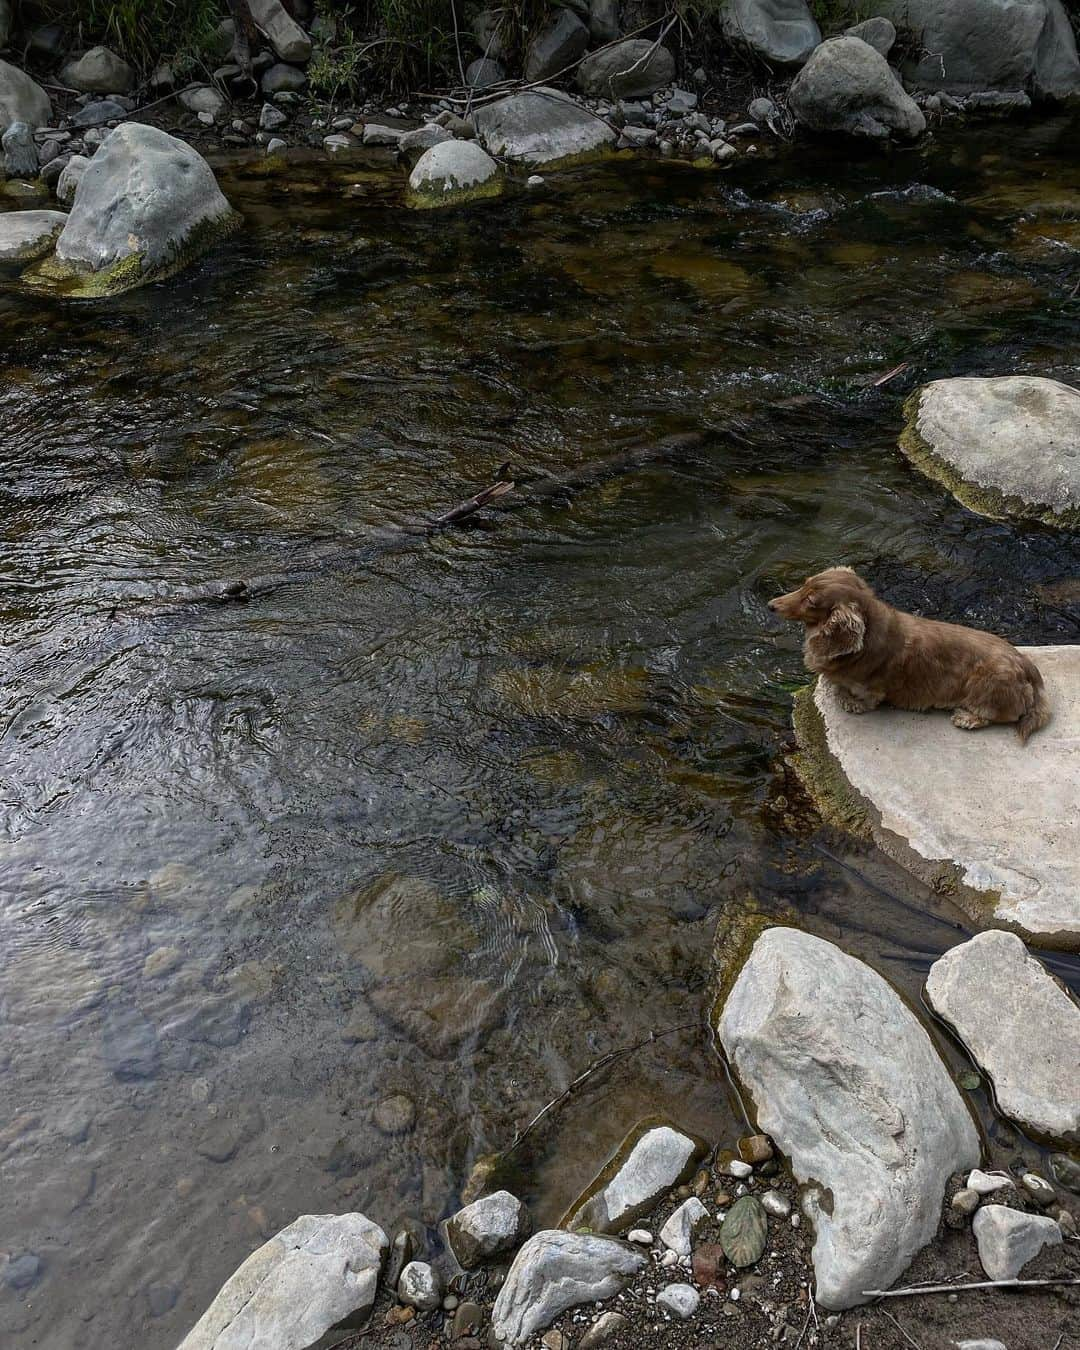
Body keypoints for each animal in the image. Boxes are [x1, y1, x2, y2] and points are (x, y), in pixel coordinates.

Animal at [772, 567, 1053, 745]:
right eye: (804, 583)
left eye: (811, 600)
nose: (771, 605)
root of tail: (1025, 664)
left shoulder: (873, 689)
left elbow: (862, 699)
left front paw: (849, 700)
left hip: (986, 684)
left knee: (999, 715)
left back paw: (967, 718)